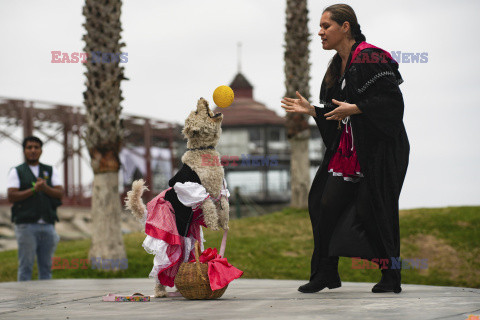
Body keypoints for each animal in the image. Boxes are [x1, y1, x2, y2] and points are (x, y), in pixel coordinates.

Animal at [124, 97, 229, 298]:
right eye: (196, 112)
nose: (202, 98)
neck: (203, 149)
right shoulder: (192, 188)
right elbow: (208, 204)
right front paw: (213, 224)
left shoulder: (220, 189)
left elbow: (223, 204)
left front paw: (224, 222)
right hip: (170, 242)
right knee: (160, 269)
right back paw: (160, 292)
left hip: (186, 240)